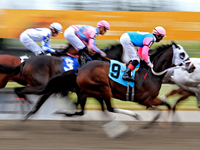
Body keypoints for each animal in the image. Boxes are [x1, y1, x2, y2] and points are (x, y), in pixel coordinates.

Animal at [23, 42, 195, 120]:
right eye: (182, 54)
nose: (193, 66)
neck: (152, 73)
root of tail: (81, 69)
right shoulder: (144, 99)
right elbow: (162, 107)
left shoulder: (149, 99)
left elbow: (165, 105)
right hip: (103, 88)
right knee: (109, 107)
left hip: (90, 90)